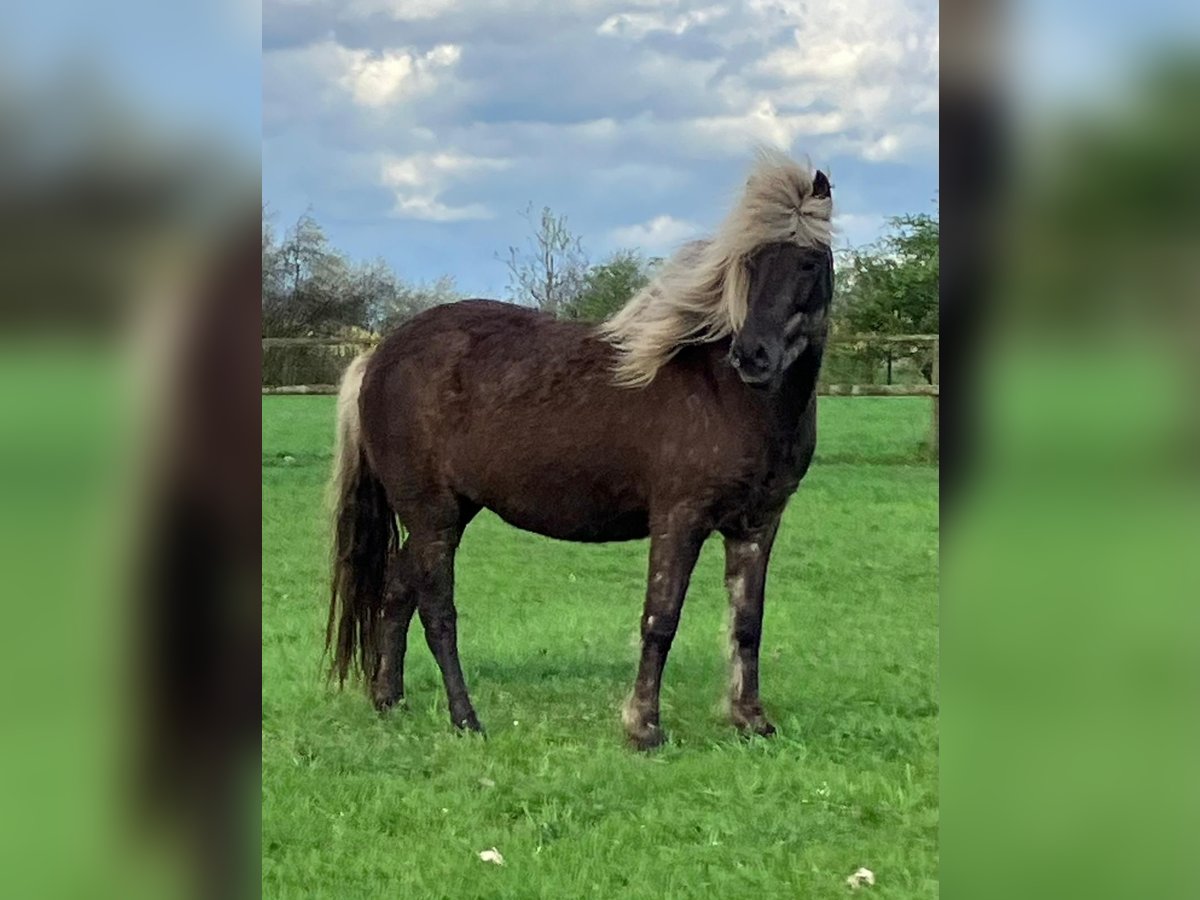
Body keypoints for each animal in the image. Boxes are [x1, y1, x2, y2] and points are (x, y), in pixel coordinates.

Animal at [326, 151, 835, 748]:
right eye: (749, 262)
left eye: (808, 262)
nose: (753, 356)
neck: (728, 395)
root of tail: (378, 356)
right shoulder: (679, 517)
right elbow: (660, 618)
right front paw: (644, 727)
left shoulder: (757, 525)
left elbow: (747, 623)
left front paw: (751, 718)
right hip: (432, 516)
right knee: (437, 612)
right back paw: (465, 718)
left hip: (448, 512)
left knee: (396, 593)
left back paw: (389, 699)